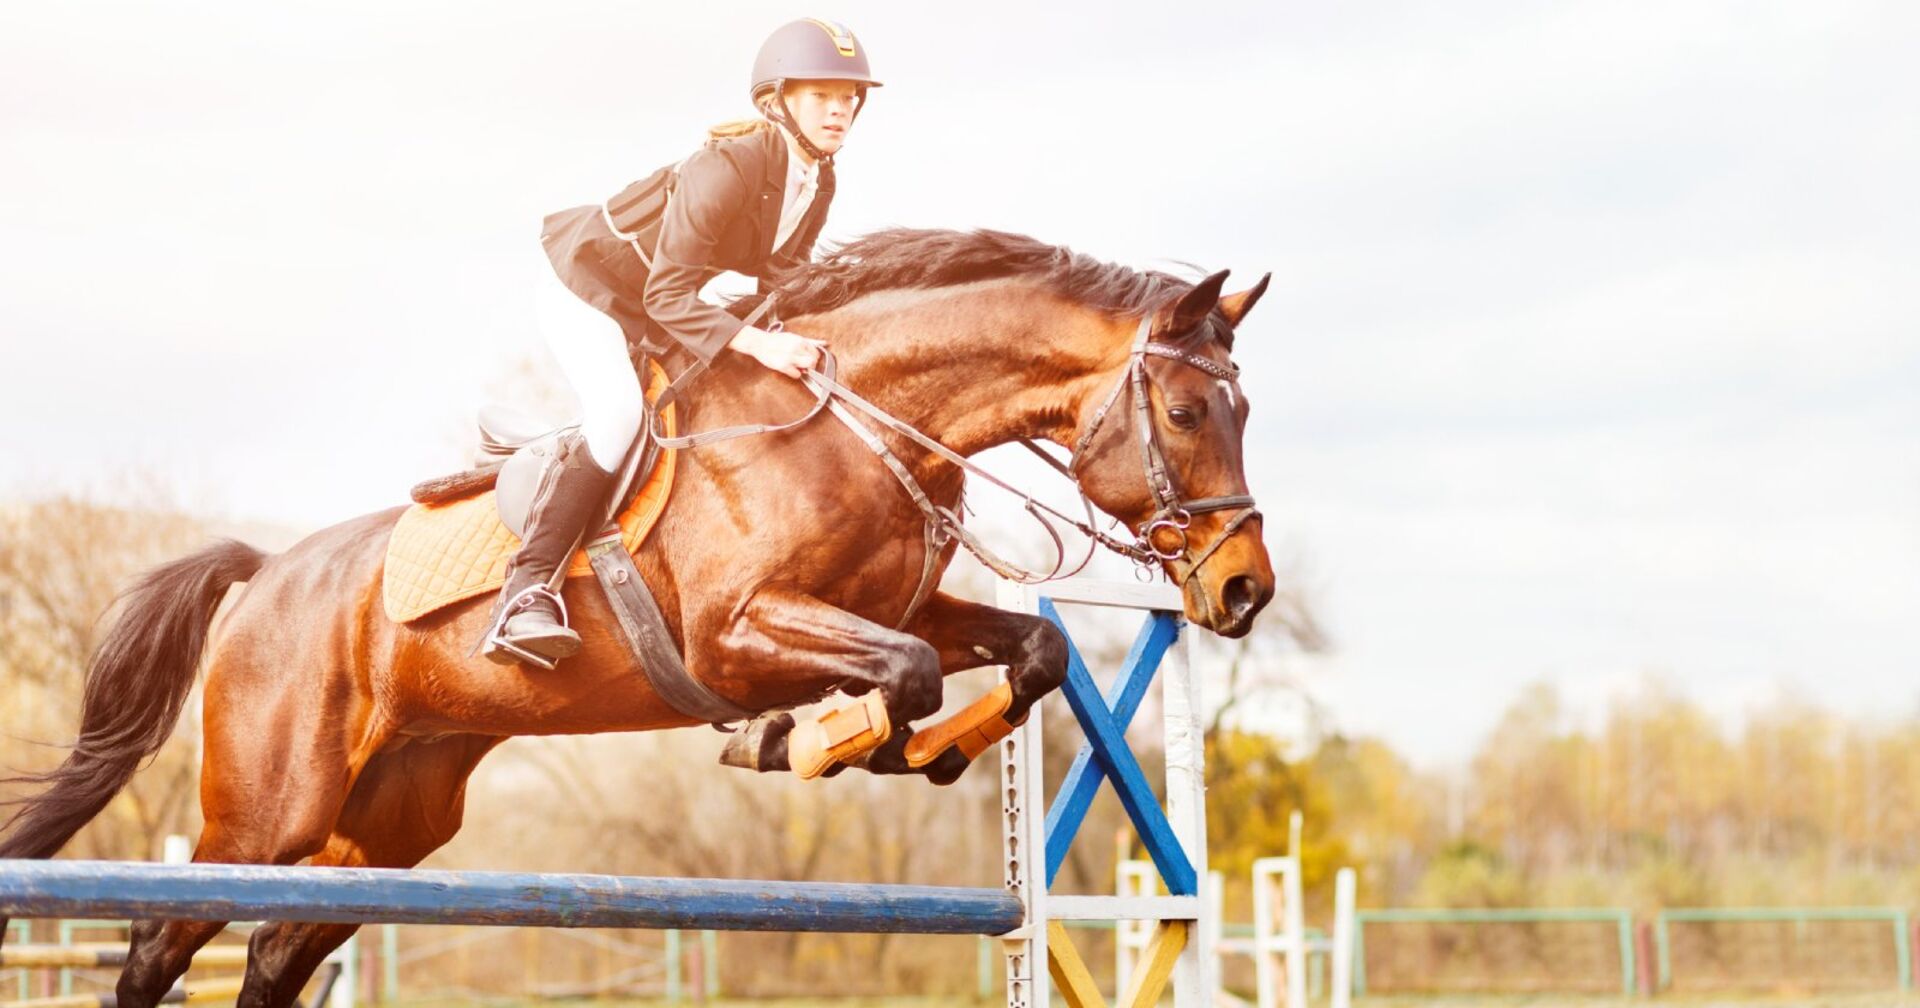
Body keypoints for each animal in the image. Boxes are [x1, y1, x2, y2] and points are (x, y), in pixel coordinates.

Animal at [0, 227, 1276, 1008]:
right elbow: (905, 671)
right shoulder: (738, 633)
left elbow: (1034, 645)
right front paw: (810, 741)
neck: (856, 424)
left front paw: (928, 751)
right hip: (268, 813)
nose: (1243, 589)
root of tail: (268, 572)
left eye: (1245, 410)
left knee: (270, 951)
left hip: (388, 825)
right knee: (156, 946)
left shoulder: (895, 606)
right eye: (1183, 411)